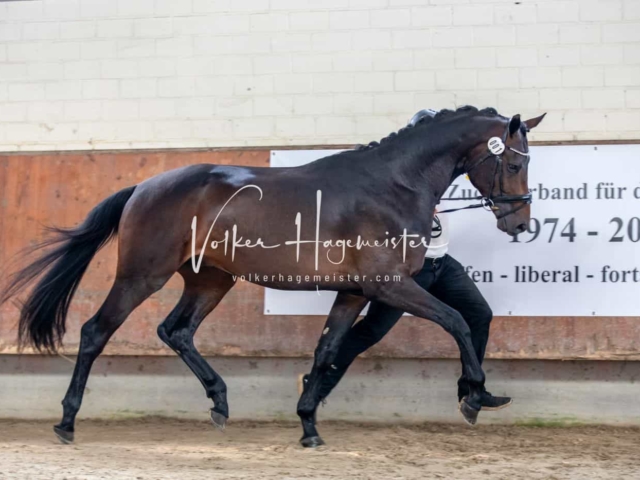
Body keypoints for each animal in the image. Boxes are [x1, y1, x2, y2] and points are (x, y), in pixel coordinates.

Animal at [0, 105, 544, 446]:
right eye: (514, 163)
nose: (518, 223)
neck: (391, 186)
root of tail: (145, 186)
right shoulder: (389, 286)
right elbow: (457, 320)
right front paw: (475, 395)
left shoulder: (353, 292)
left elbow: (326, 352)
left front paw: (308, 426)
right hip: (142, 275)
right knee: (96, 332)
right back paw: (67, 422)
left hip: (210, 280)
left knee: (175, 330)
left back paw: (220, 403)